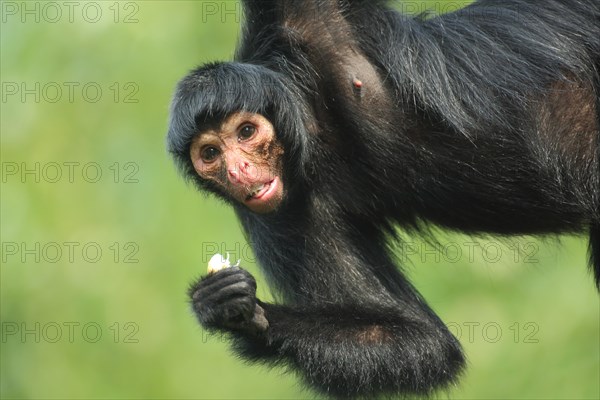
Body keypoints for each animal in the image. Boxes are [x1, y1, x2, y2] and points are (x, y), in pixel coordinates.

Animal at [168, 0, 600, 396]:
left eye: (245, 132)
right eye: (210, 153)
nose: (238, 170)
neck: (316, 125)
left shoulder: (307, 20)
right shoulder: (275, 211)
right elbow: (421, 342)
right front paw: (229, 307)